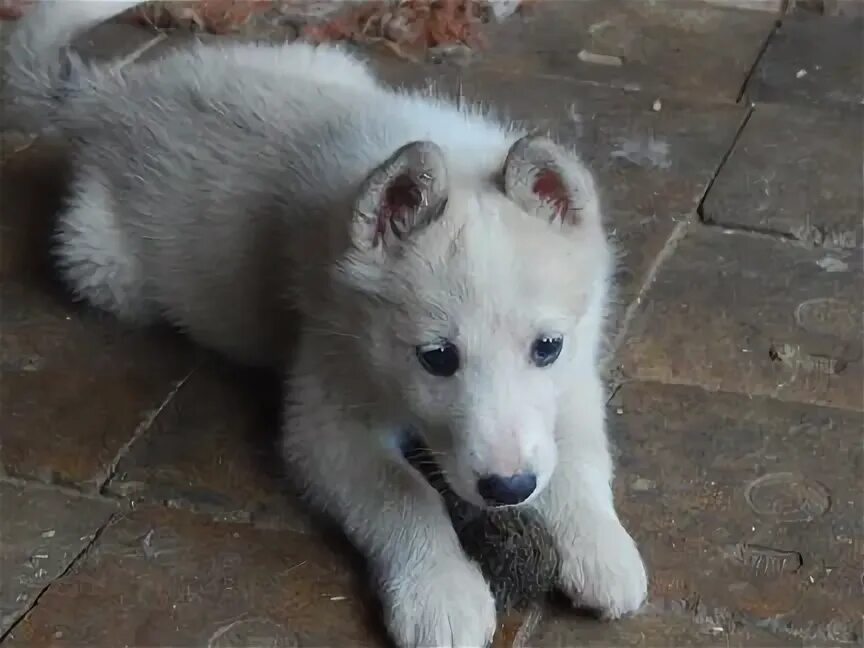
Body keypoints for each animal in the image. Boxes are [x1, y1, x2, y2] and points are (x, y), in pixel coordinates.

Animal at [3, 2, 644, 644]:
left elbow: (581, 456)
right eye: (437, 358)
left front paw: (602, 550)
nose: (508, 490)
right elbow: (403, 496)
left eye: (547, 347)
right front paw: (441, 594)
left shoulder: (576, 373)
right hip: (105, 269)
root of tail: (113, 96)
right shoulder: (327, 417)